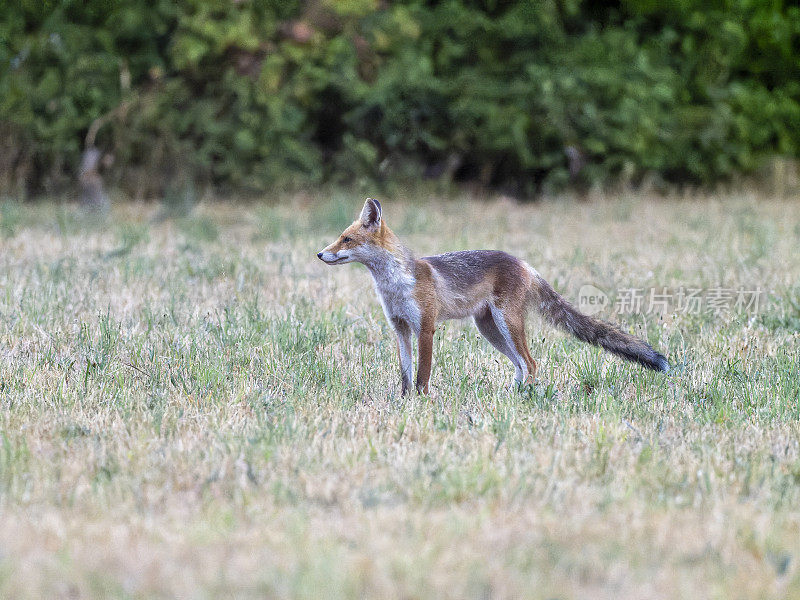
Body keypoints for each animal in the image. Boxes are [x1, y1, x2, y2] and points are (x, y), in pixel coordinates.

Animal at [316, 199, 664, 396]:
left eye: (346, 239)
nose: (320, 254)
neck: (395, 284)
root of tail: (524, 263)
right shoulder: (400, 328)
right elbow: (405, 373)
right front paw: (403, 402)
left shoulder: (426, 327)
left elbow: (422, 374)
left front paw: (422, 402)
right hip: (489, 329)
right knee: (521, 366)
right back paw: (511, 397)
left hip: (506, 323)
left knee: (531, 363)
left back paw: (523, 399)